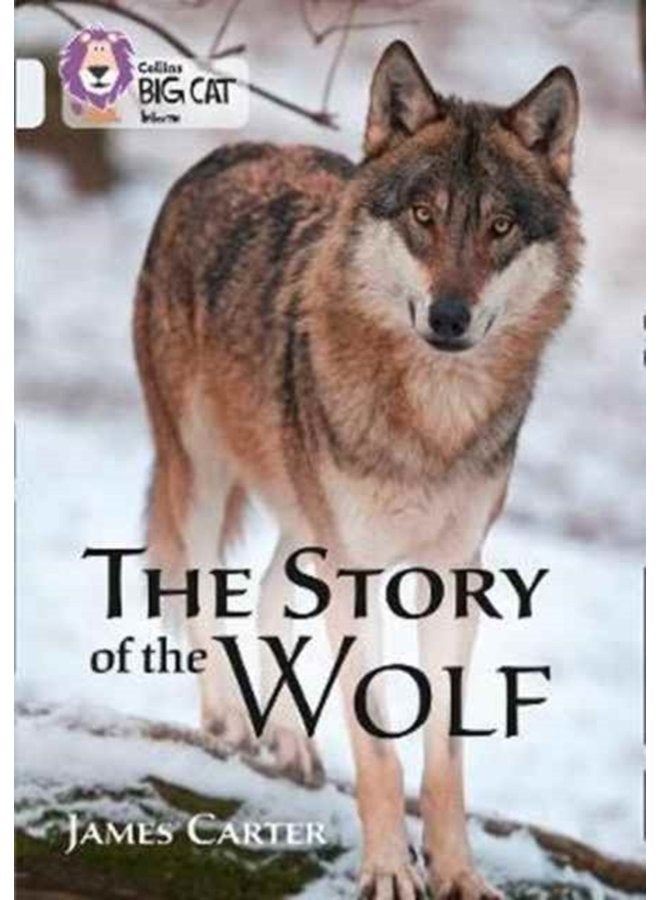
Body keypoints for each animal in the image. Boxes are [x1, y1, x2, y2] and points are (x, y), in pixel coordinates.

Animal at [134, 41, 581, 899]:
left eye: (500, 226)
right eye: (423, 216)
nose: (450, 317)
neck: (433, 420)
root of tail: (229, 151)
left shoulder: (454, 573)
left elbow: (444, 757)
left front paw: (458, 873)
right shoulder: (359, 569)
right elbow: (378, 746)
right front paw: (386, 869)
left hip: (304, 520)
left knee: (269, 599)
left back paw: (285, 738)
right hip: (203, 475)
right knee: (205, 589)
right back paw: (228, 719)